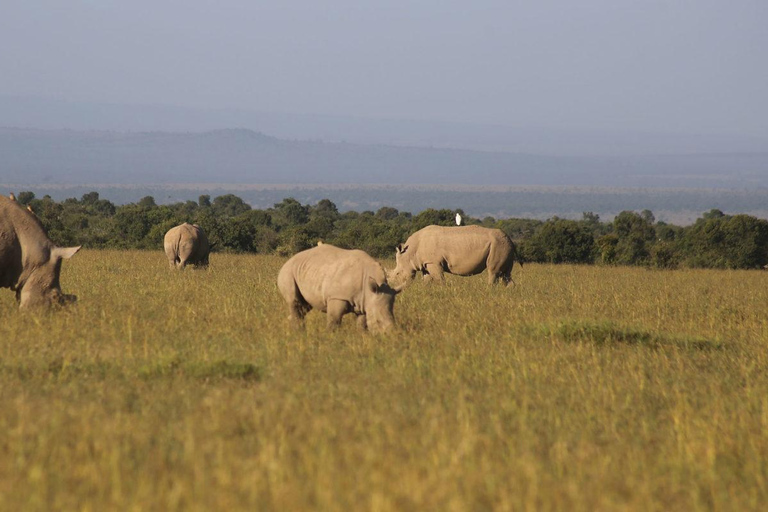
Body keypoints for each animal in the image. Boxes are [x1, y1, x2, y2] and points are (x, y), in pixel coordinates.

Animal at [390, 226, 520, 286]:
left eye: (397, 273)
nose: (393, 286)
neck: (410, 252)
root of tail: (511, 240)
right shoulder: (426, 263)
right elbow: (426, 281)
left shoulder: (434, 262)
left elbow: (439, 279)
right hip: (504, 245)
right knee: (505, 274)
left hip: (498, 245)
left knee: (493, 271)